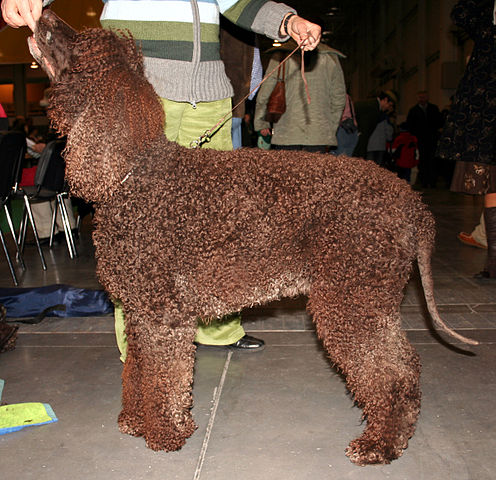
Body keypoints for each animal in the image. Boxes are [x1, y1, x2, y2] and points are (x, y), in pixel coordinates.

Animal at [30, 10, 476, 464]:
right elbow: (137, 371)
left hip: (354, 300)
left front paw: (165, 433)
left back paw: (380, 444)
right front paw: (137, 421)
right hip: (367, 300)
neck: (132, 174)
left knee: (393, 373)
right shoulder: (140, 315)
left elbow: (164, 380)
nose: (44, 13)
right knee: (405, 366)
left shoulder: (163, 318)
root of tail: (411, 202)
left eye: (81, 46)